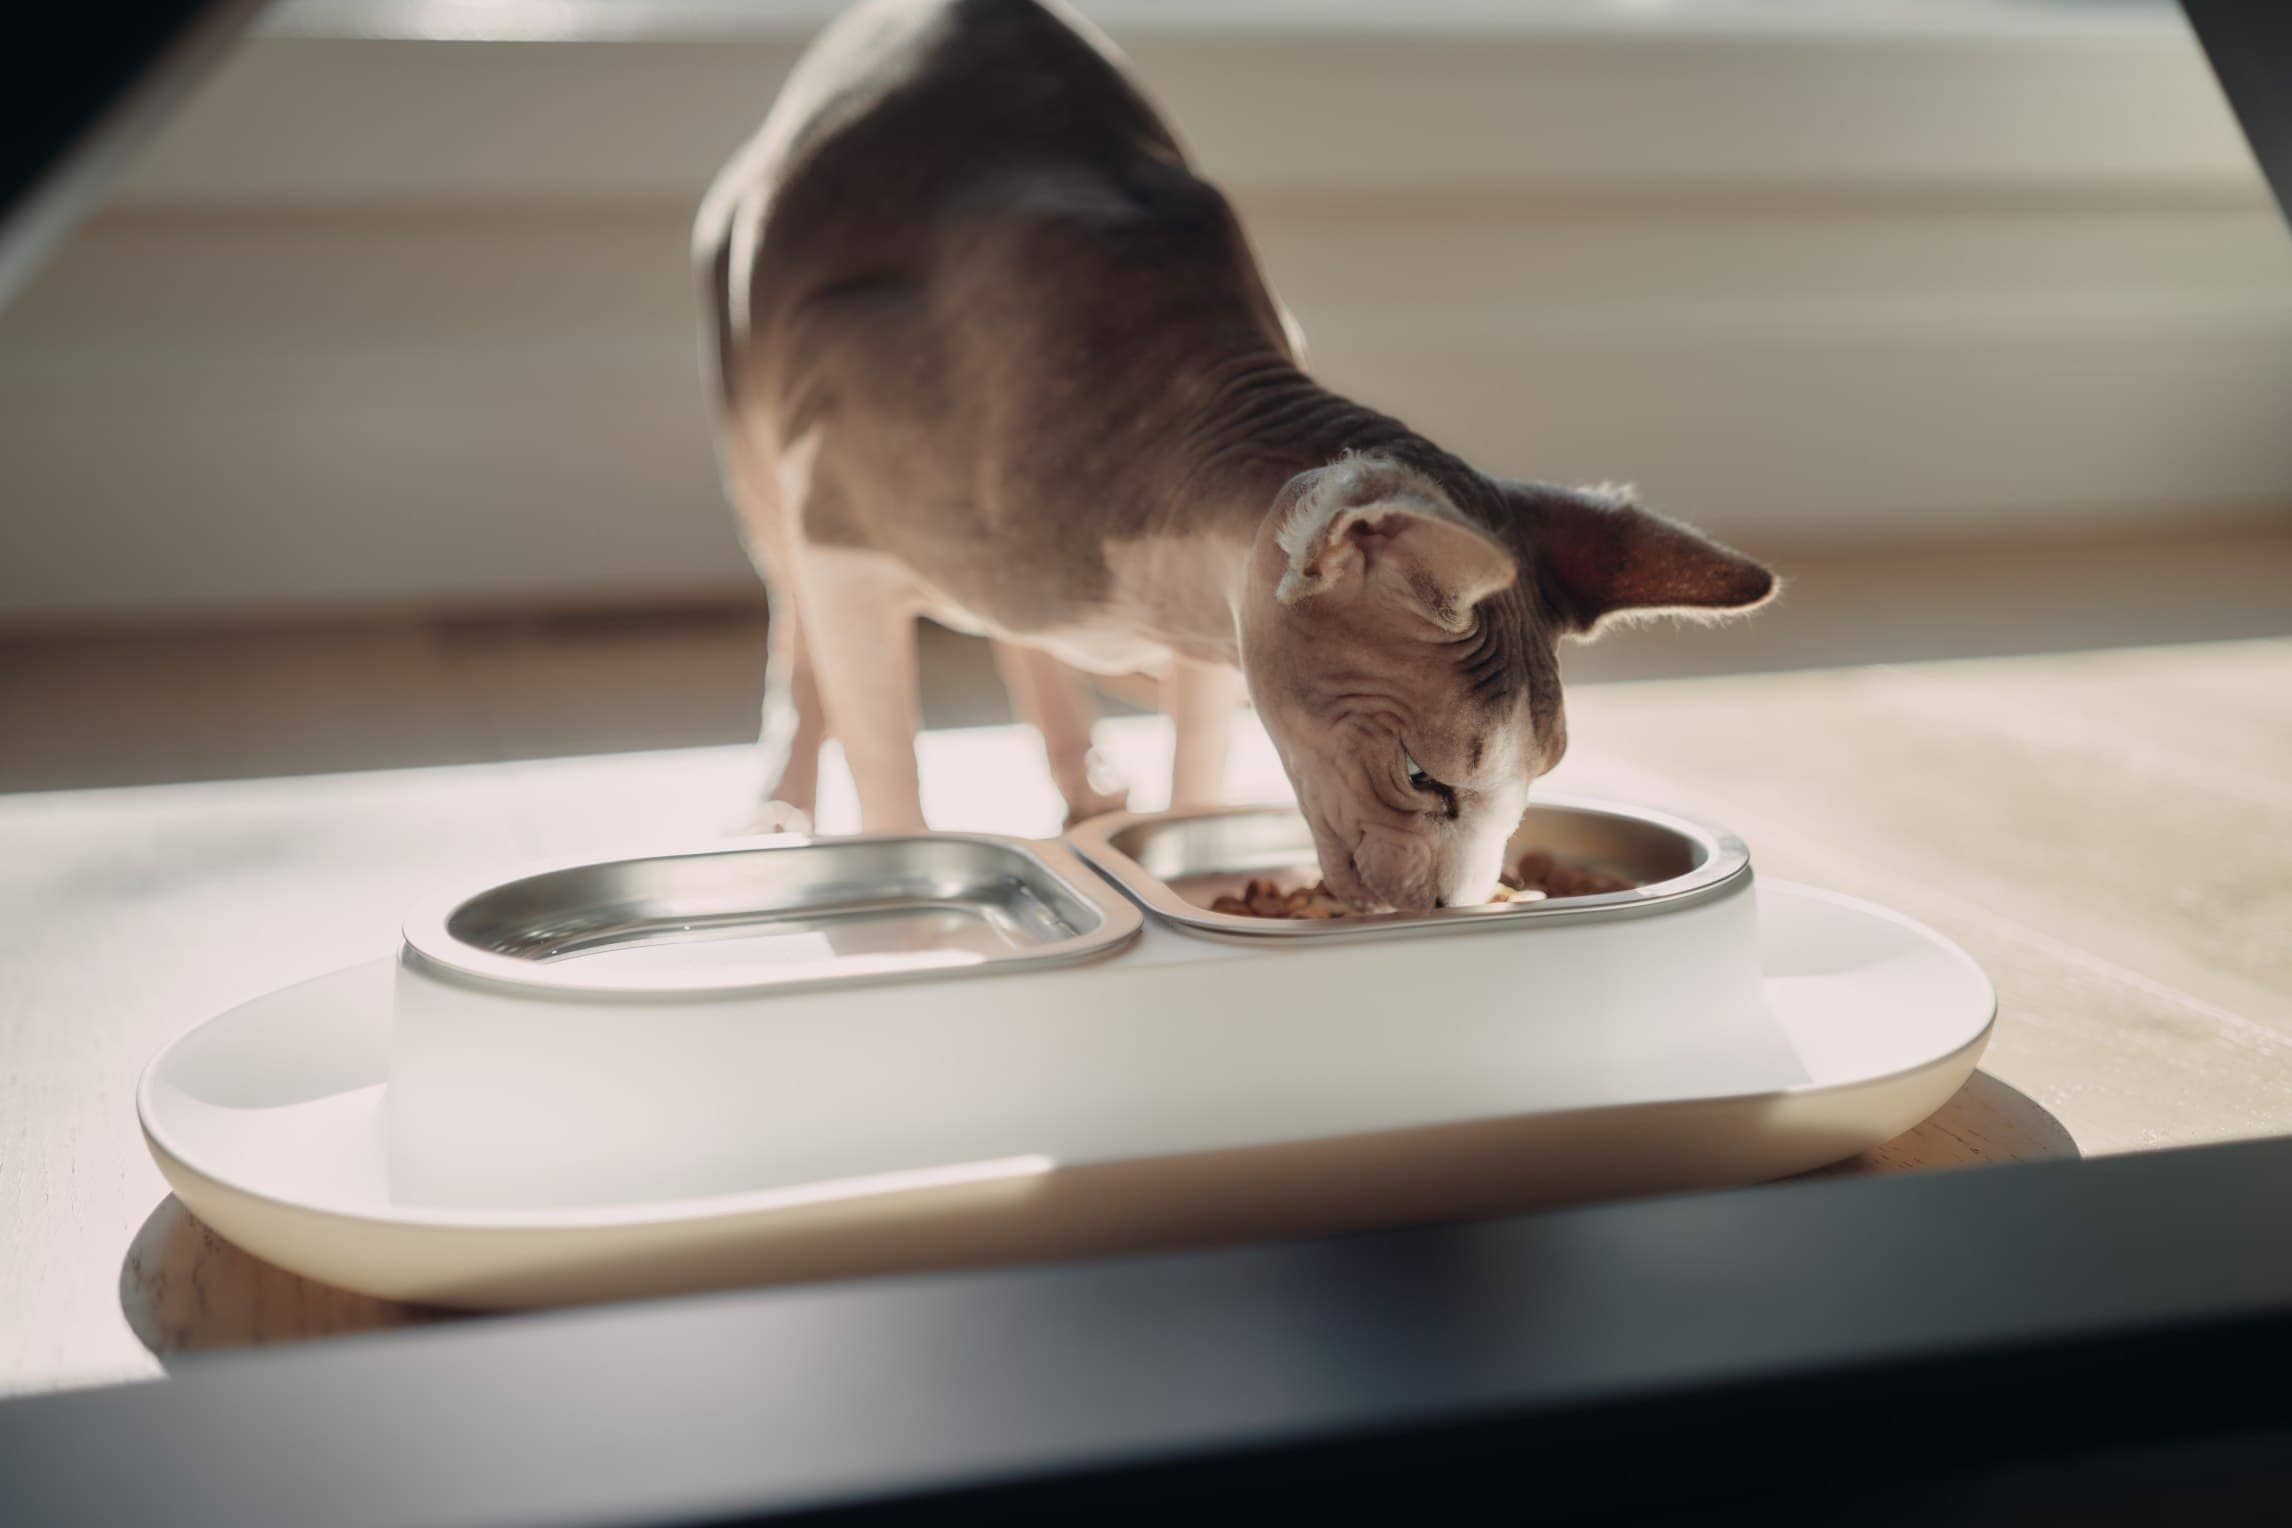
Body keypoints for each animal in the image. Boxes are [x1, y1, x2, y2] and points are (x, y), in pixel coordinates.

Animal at [692, 0, 1769, 907]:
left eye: (1535, 785)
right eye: (1423, 778)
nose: (1449, 910)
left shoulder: (1212, 608)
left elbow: (1198, 764)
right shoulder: (843, 541)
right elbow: (881, 753)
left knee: (1017, 635)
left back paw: (1084, 771)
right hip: (753, 401)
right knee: (795, 626)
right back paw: (780, 802)